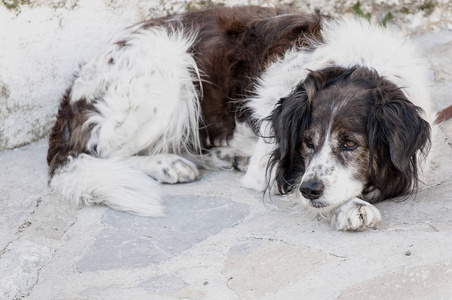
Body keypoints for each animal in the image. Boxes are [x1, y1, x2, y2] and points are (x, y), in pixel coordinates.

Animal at [46, 6, 434, 232]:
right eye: (306, 143)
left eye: (351, 144)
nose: (311, 189)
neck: (355, 60)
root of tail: (73, 91)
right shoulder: (276, 162)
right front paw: (350, 207)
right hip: (169, 67)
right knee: (103, 152)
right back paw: (168, 164)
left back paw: (221, 155)